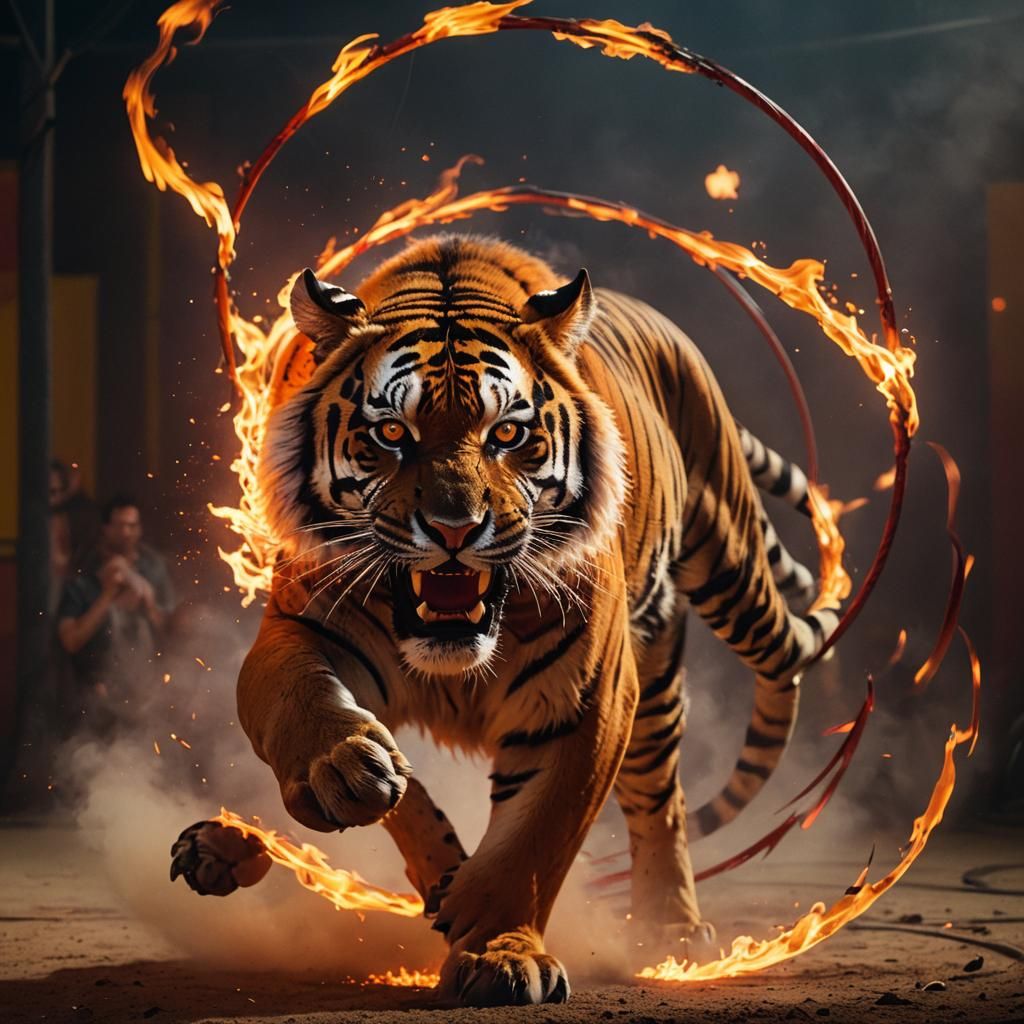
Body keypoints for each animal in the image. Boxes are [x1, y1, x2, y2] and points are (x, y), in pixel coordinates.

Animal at [183, 234, 839, 1006]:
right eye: (392, 432)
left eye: (507, 434)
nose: (454, 529)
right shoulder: (301, 628)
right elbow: (316, 716)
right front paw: (347, 775)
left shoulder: (585, 699)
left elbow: (534, 837)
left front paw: (499, 949)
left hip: (724, 582)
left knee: (689, 770)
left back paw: (672, 932)